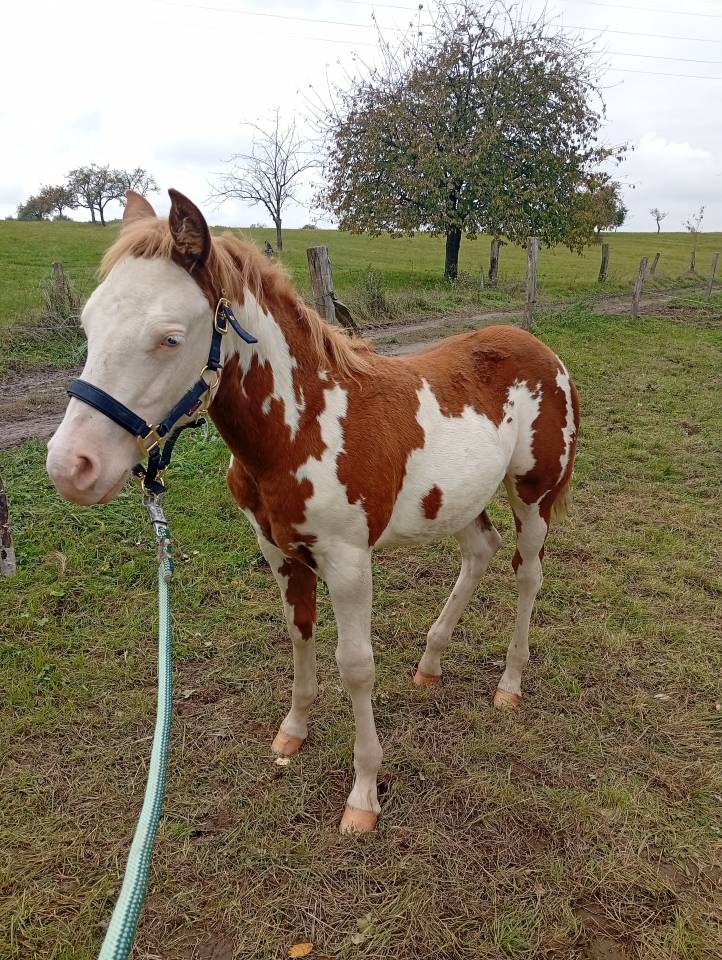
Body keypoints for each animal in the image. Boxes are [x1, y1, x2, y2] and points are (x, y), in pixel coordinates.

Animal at [47, 189, 579, 833]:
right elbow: (299, 634)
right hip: (461, 499)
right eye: (89, 323)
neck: (304, 427)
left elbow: (356, 665)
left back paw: (509, 682)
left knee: (528, 574)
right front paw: (292, 733)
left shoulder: (348, 563)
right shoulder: (279, 551)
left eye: (170, 338)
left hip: (534, 494)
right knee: (480, 552)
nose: (71, 466)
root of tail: (547, 354)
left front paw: (364, 795)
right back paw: (430, 663)